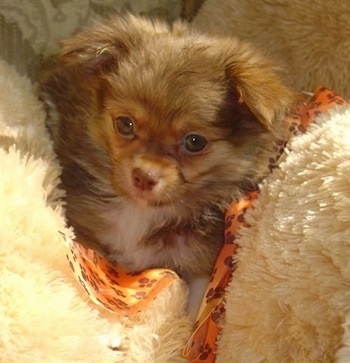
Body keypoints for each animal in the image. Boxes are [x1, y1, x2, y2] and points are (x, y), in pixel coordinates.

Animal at [40, 14, 296, 284]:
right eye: (125, 124)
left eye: (195, 142)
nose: (144, 177)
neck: (140, 214)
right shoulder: (84, 227)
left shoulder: (198, 267)